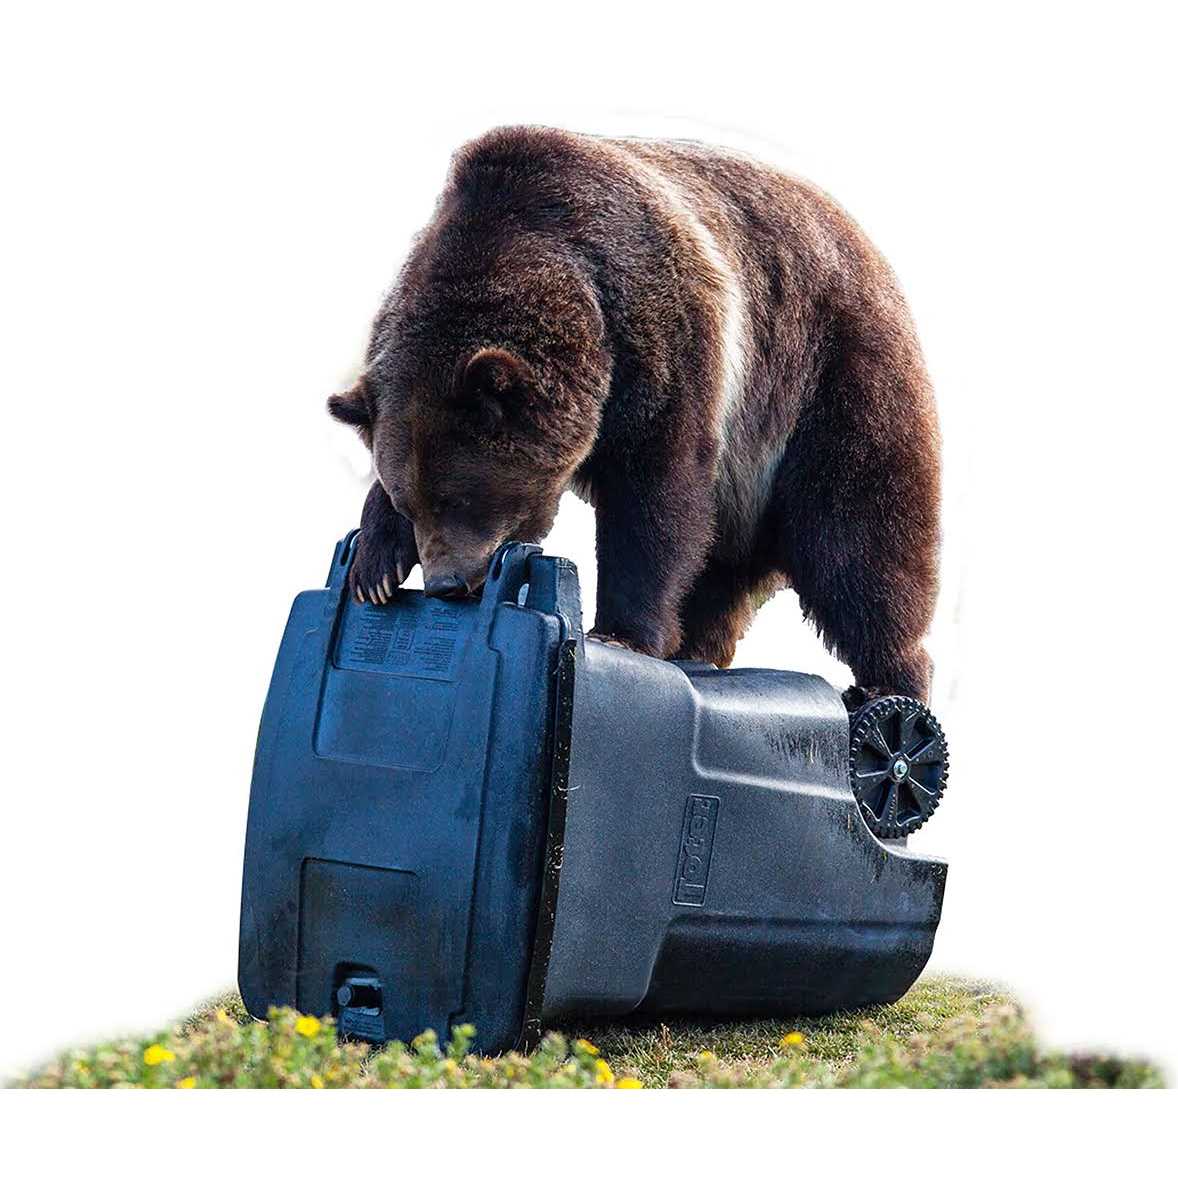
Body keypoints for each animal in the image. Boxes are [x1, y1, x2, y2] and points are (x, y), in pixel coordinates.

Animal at [328, 125, 941, 703]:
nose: (446, 584)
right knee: (722, 575)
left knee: (859, 537)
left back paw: (893, 681)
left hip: (828, 381)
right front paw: (374, 568)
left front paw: (620, 633)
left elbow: (656, 494)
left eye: (460, 498)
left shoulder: (661, 338)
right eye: (411, 502)